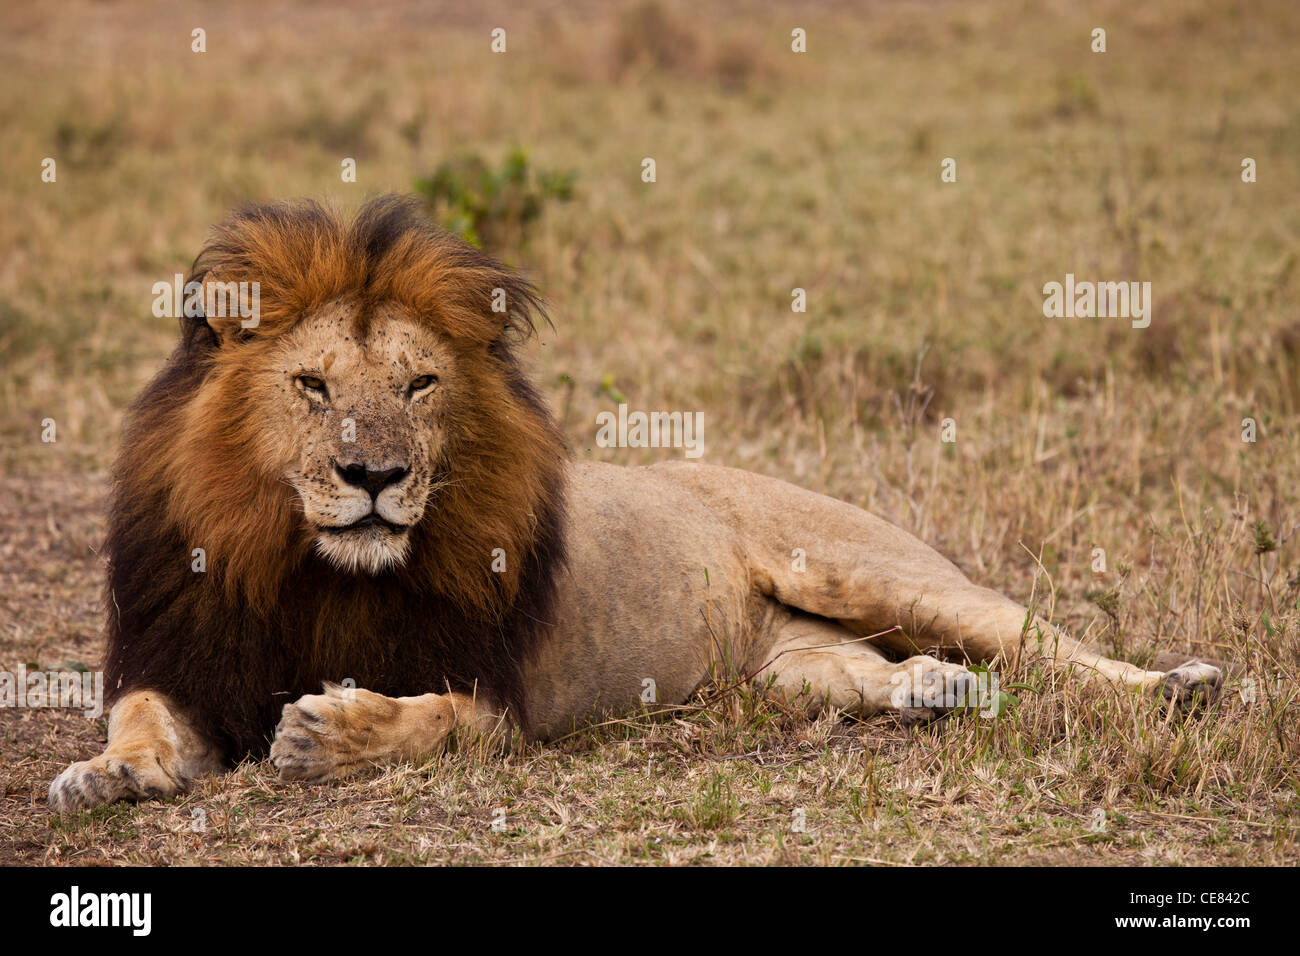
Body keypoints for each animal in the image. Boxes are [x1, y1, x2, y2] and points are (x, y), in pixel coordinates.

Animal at [49, 196, 1223, 810]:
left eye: (419, 385)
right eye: (313, 386)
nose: (373, 477)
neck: (308, 566)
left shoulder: (503, 697)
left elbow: (428, 722)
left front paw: (328, 731)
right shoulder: (181, 655)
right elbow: (140, 716)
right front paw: (103, 773)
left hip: (870, 568)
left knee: (1044, 637)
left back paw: (1182, 687)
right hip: (787, 668)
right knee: (869, 671)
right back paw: (936, 692)